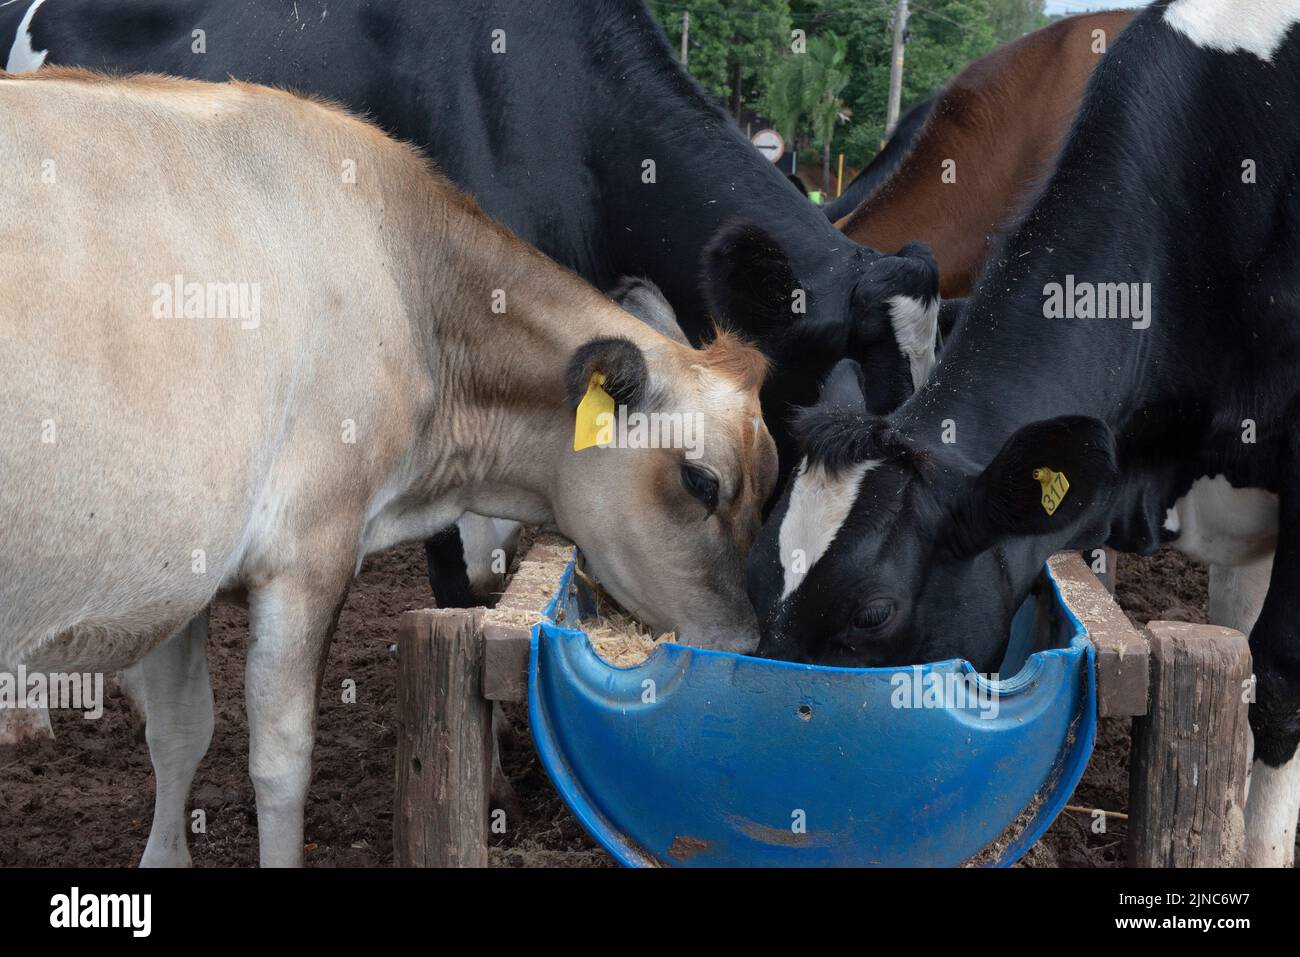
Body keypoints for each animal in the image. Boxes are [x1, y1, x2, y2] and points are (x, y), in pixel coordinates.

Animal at [0, 68, 777, 865]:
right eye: (702, 481)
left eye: (770, 487)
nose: (746, 645)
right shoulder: (308, 551)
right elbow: (281, 760)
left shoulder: (180, 567)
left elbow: (180, 733)